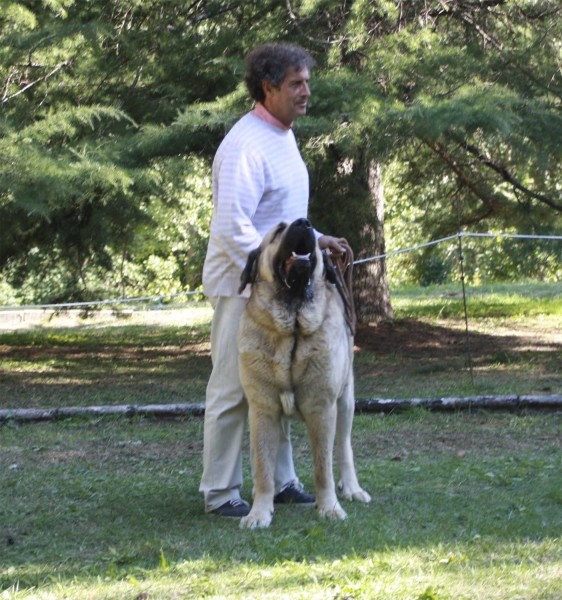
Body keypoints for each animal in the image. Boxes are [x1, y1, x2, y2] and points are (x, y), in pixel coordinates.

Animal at [235, 218, 368, 528]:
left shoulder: (323, 407)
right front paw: (259, 513)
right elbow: (263, 465)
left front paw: (329, 507)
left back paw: (352, 488)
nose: (304, 223)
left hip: (346, 400)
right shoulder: (262, 409)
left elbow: (323, 466)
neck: (292, 326)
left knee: (344, 448)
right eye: (278, 230)